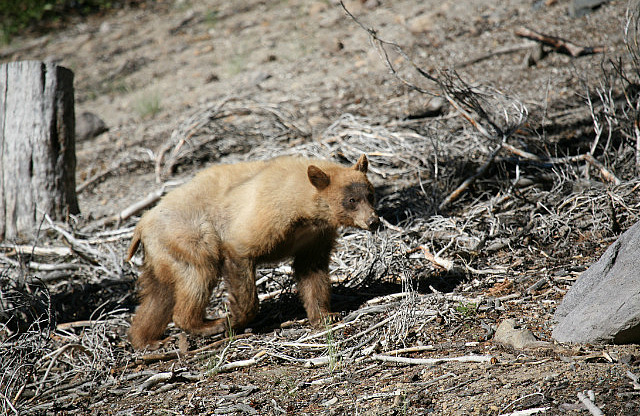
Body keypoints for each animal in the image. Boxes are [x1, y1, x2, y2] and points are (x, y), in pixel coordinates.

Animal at [127, 154, 378, 350]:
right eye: (351, 200)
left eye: (370, 194)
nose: (373, 221)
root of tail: (143, 222)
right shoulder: (264, 216)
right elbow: (241, 255)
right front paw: (236, 319)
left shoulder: (315, 236)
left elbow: (312, 271)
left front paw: (326, 315)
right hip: (189, 236)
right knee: (198, 275)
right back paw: (208, 325)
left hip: (161, 253)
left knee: (160, 294)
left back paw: (148, 340)